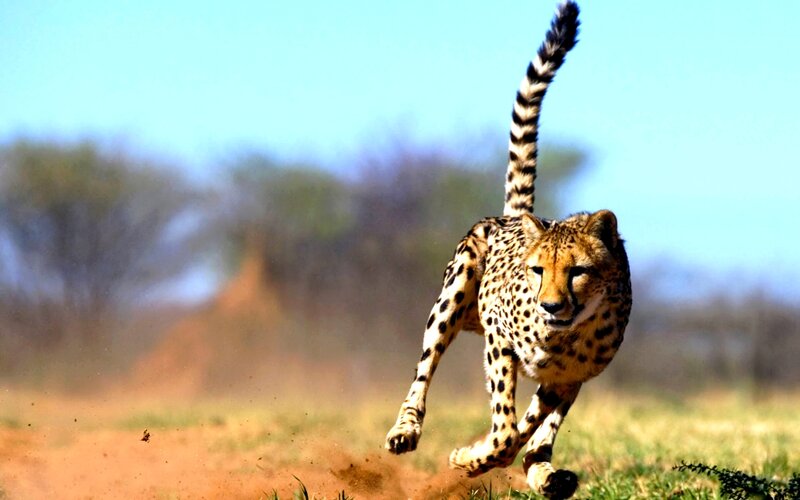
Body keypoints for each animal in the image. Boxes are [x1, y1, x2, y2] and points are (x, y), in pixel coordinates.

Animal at [384, 2, 632, 498]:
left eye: (577, 271)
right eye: (537, 271)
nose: (551, 305)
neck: (567, 332)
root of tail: (516, 216)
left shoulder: (567, 377)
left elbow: (524, 429)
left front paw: (479, 458)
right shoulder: (499, 339)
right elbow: (504, 430)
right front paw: (470, 458)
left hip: (563, 381)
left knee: (537, 432)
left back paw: (547, 472)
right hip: (454, 294)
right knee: (425, 368)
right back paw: (406, 429)